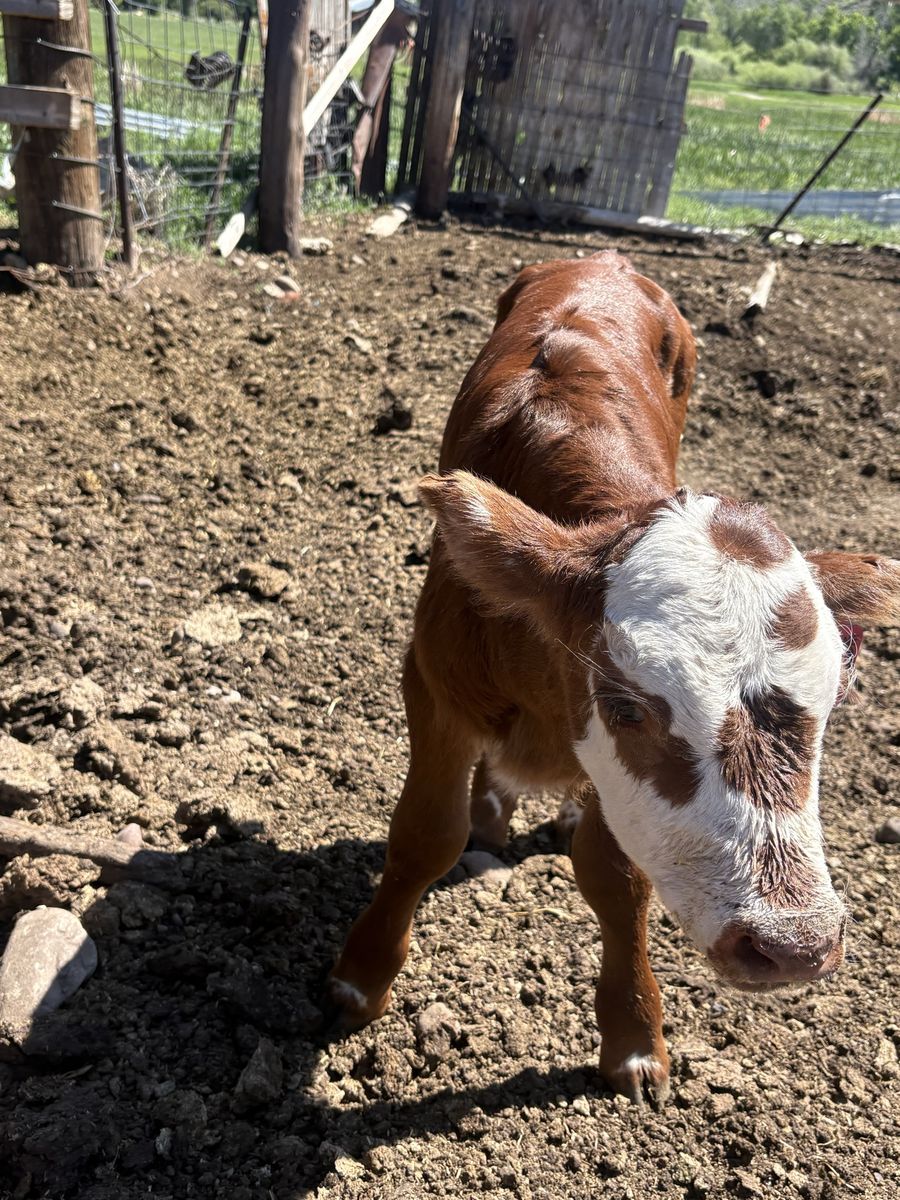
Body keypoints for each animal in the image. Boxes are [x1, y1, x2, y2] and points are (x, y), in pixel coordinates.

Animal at [326, 251, 899, 1104]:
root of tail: (602, 259)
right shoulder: (432, 683)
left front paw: (633, 1036)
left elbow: (618, 877)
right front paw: (360, 979)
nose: (793, 943)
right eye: (627, 708)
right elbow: (425, 836)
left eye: (831, 706)